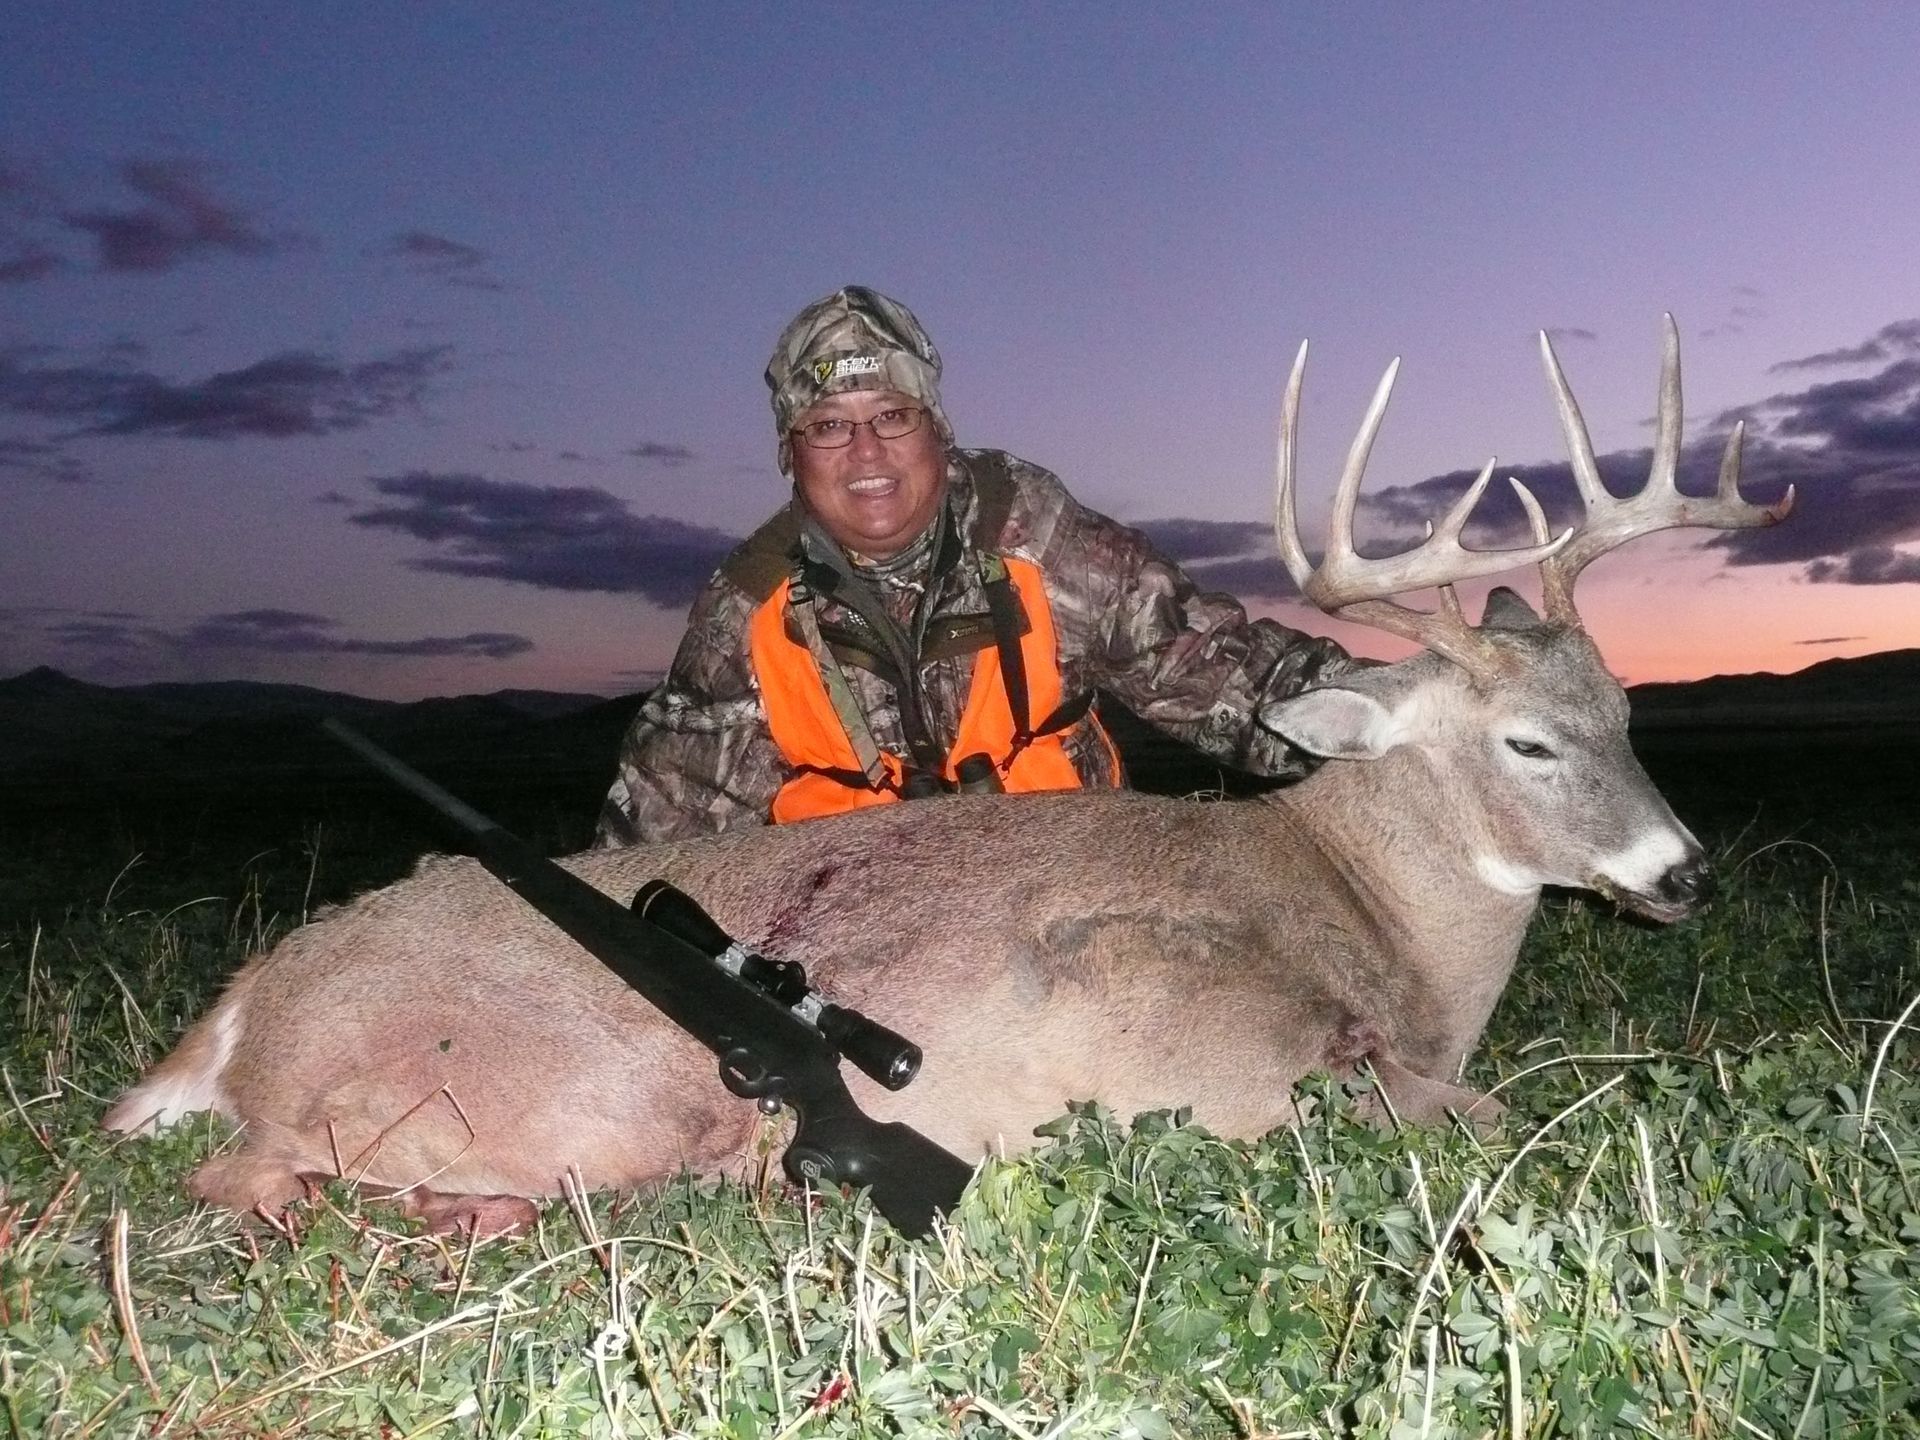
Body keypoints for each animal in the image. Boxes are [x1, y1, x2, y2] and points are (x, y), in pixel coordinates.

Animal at [104, 317, 1791, 1235]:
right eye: (1525, 739)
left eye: (1626, 708)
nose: (1686, 872)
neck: (1368, 916)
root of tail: (239, 1011)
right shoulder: (1219, 1067)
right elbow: (1476, 1114)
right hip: (562, 1095)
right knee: (246, 1182)